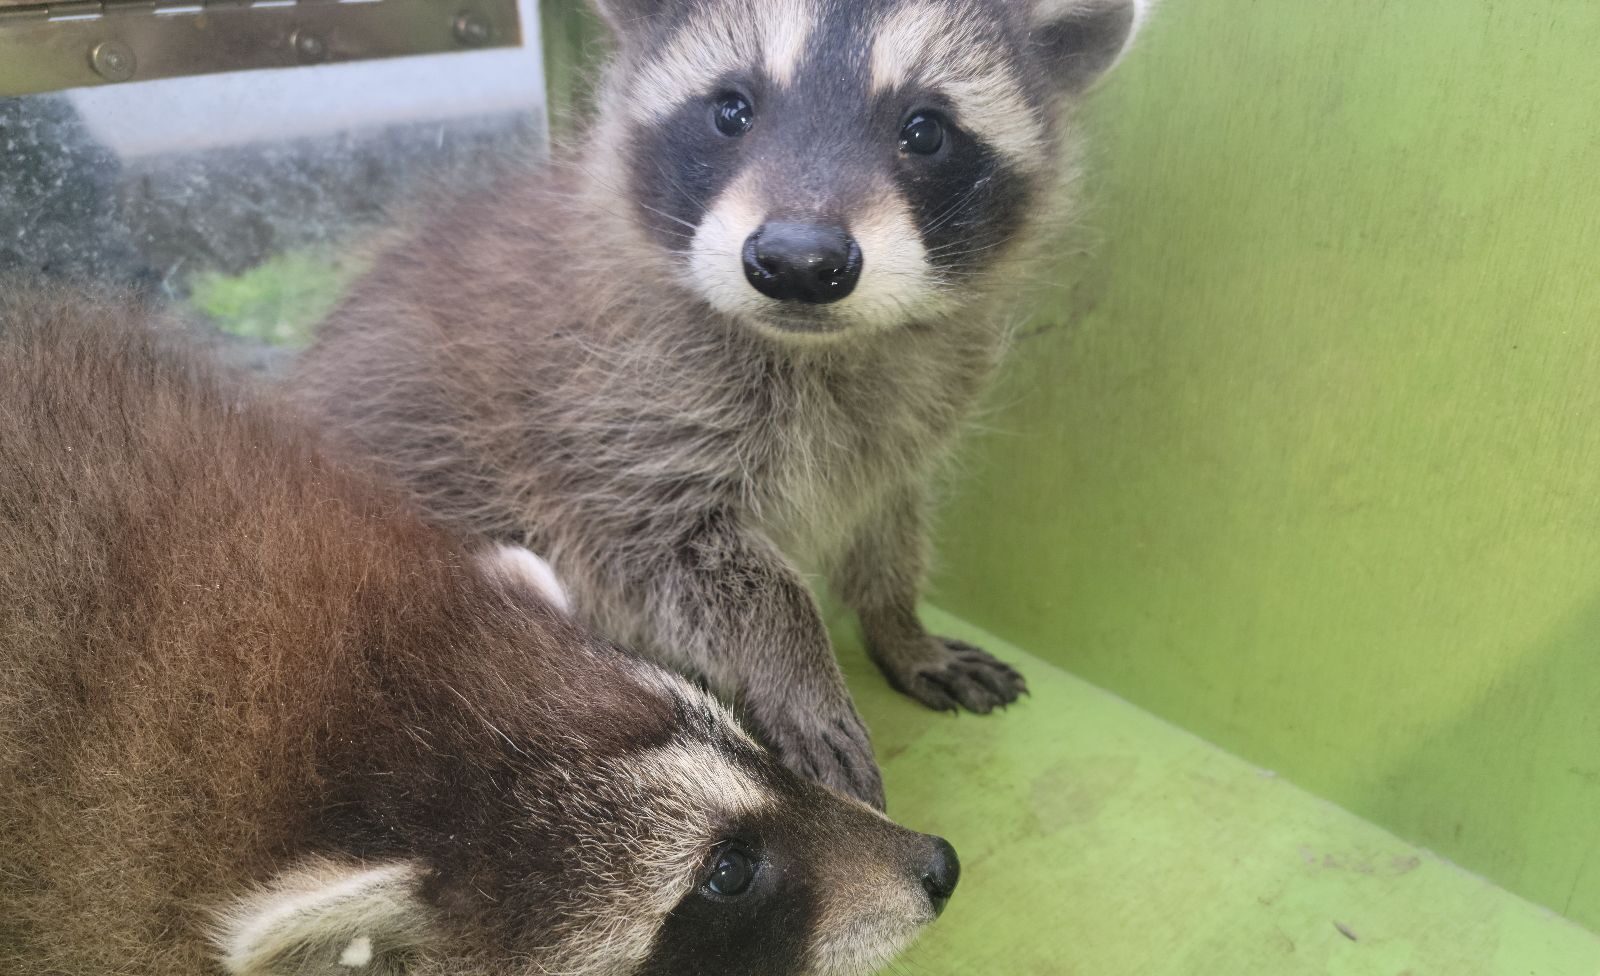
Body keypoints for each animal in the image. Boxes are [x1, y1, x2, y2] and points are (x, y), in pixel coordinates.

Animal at [294, 0, 1152, 807]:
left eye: (925, 130)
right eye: (731, 110)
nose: (799, 261)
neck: (816, 346)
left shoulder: (907, 423)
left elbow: (888, 520)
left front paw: (899, 624)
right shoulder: (603, 420)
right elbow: (681, 561)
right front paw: (799, 668)